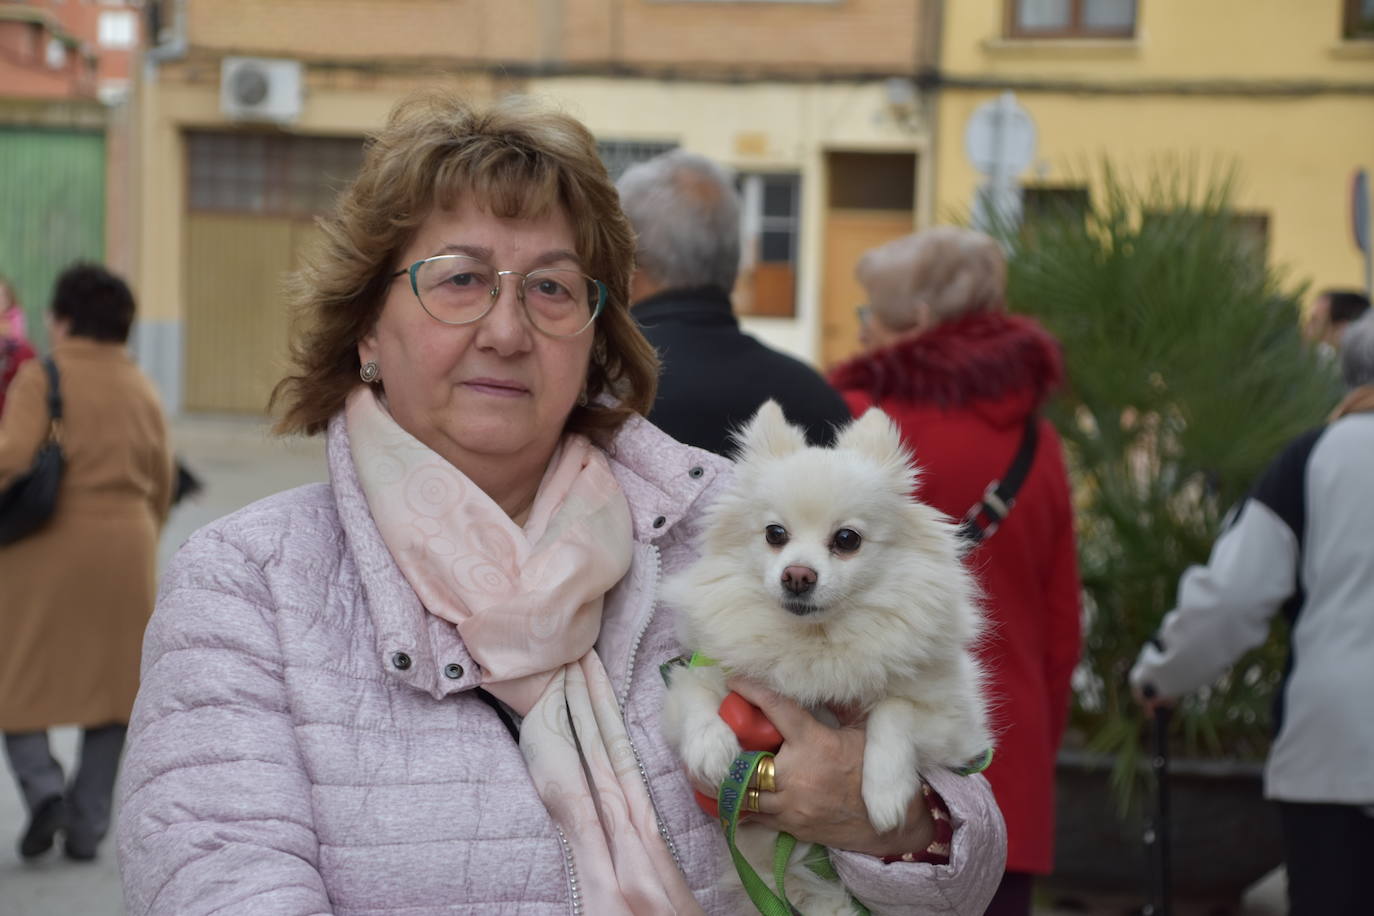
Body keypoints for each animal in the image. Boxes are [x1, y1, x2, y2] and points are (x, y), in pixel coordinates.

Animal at [656, 401, 989, 916]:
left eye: (847, 539)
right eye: (775, 534)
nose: (797, 575)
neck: (816, 641)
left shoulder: (957, 726)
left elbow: (894, 711)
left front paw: (886, 790)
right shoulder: (702, 672)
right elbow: (696, 697)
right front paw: (711, 747)